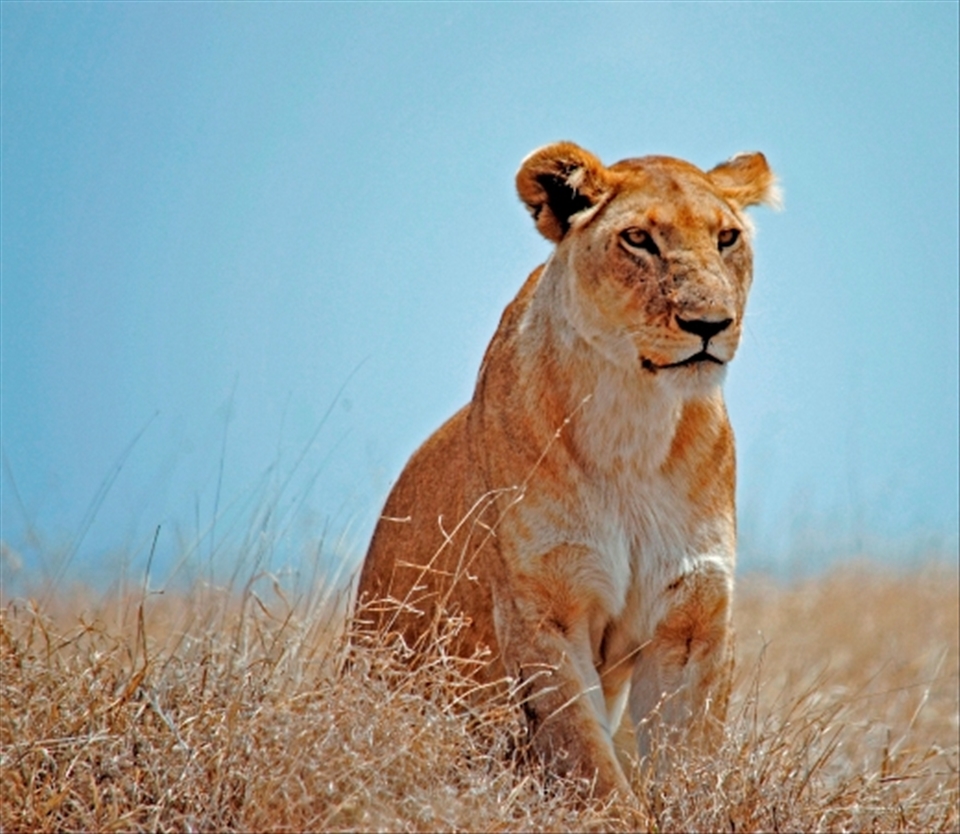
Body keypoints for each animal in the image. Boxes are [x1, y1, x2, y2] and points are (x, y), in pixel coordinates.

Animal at [355, 141, 779, 797]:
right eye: (639, 239)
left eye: (726, 237)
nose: (710, 325)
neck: (633, 420)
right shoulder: (542, 610)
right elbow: (589, 761)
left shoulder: (691, 616)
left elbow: (689, 764)